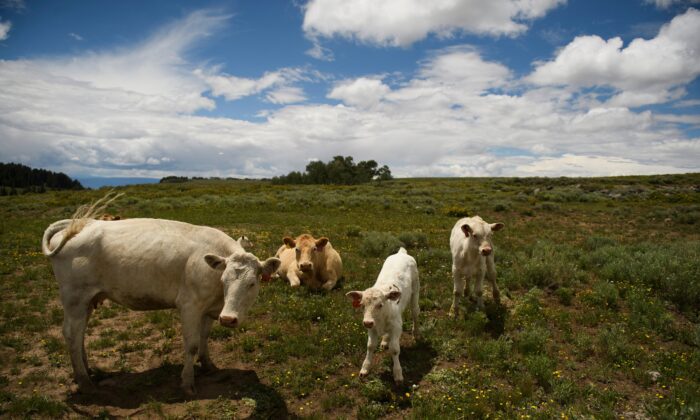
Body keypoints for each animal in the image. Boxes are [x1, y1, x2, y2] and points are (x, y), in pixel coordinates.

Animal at [346, 248, 418, 386]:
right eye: (362, 305)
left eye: (380, 304)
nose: (367, 322)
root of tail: (401, 253)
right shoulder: (372, 328)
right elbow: (370, 346)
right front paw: (364, 369)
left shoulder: (396, 326)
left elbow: (394, 349)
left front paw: (398, 375)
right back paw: (385, 341)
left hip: (416, 290)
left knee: (415, 312)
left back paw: (416, 334)